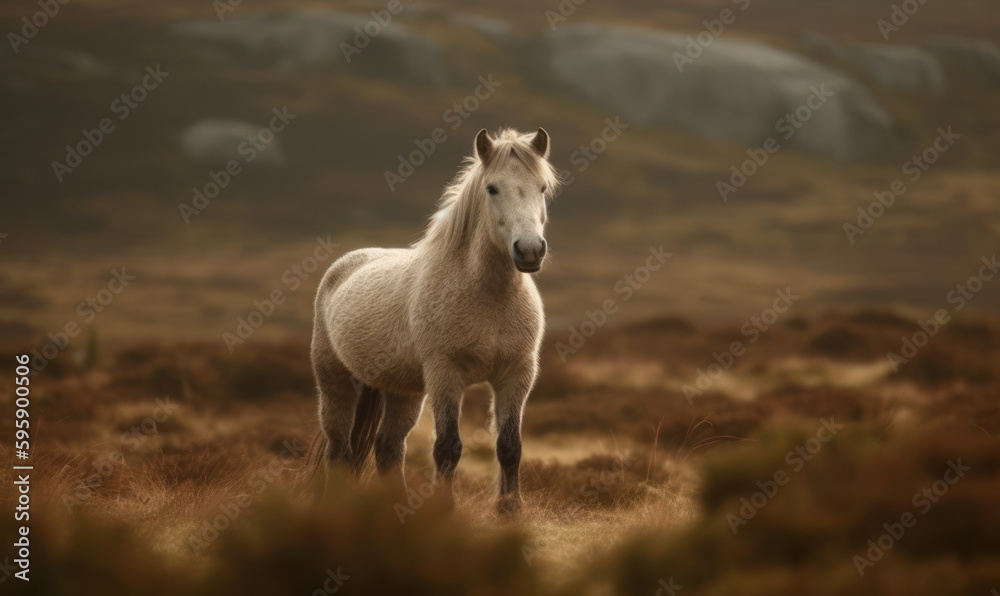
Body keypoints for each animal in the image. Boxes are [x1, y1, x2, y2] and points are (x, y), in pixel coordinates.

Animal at [310, 127, 560, 515]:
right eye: (492, 188)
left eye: (542, 188)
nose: (530, 251)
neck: (489, 296)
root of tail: (344, 265)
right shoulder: (446, 375)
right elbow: (448, 447)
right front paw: (445, 510)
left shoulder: (516, 374)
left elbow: (509, 446)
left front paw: (510, 510)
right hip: (336, 384)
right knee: (339, 449)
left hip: (403, 392)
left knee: (388, 449)